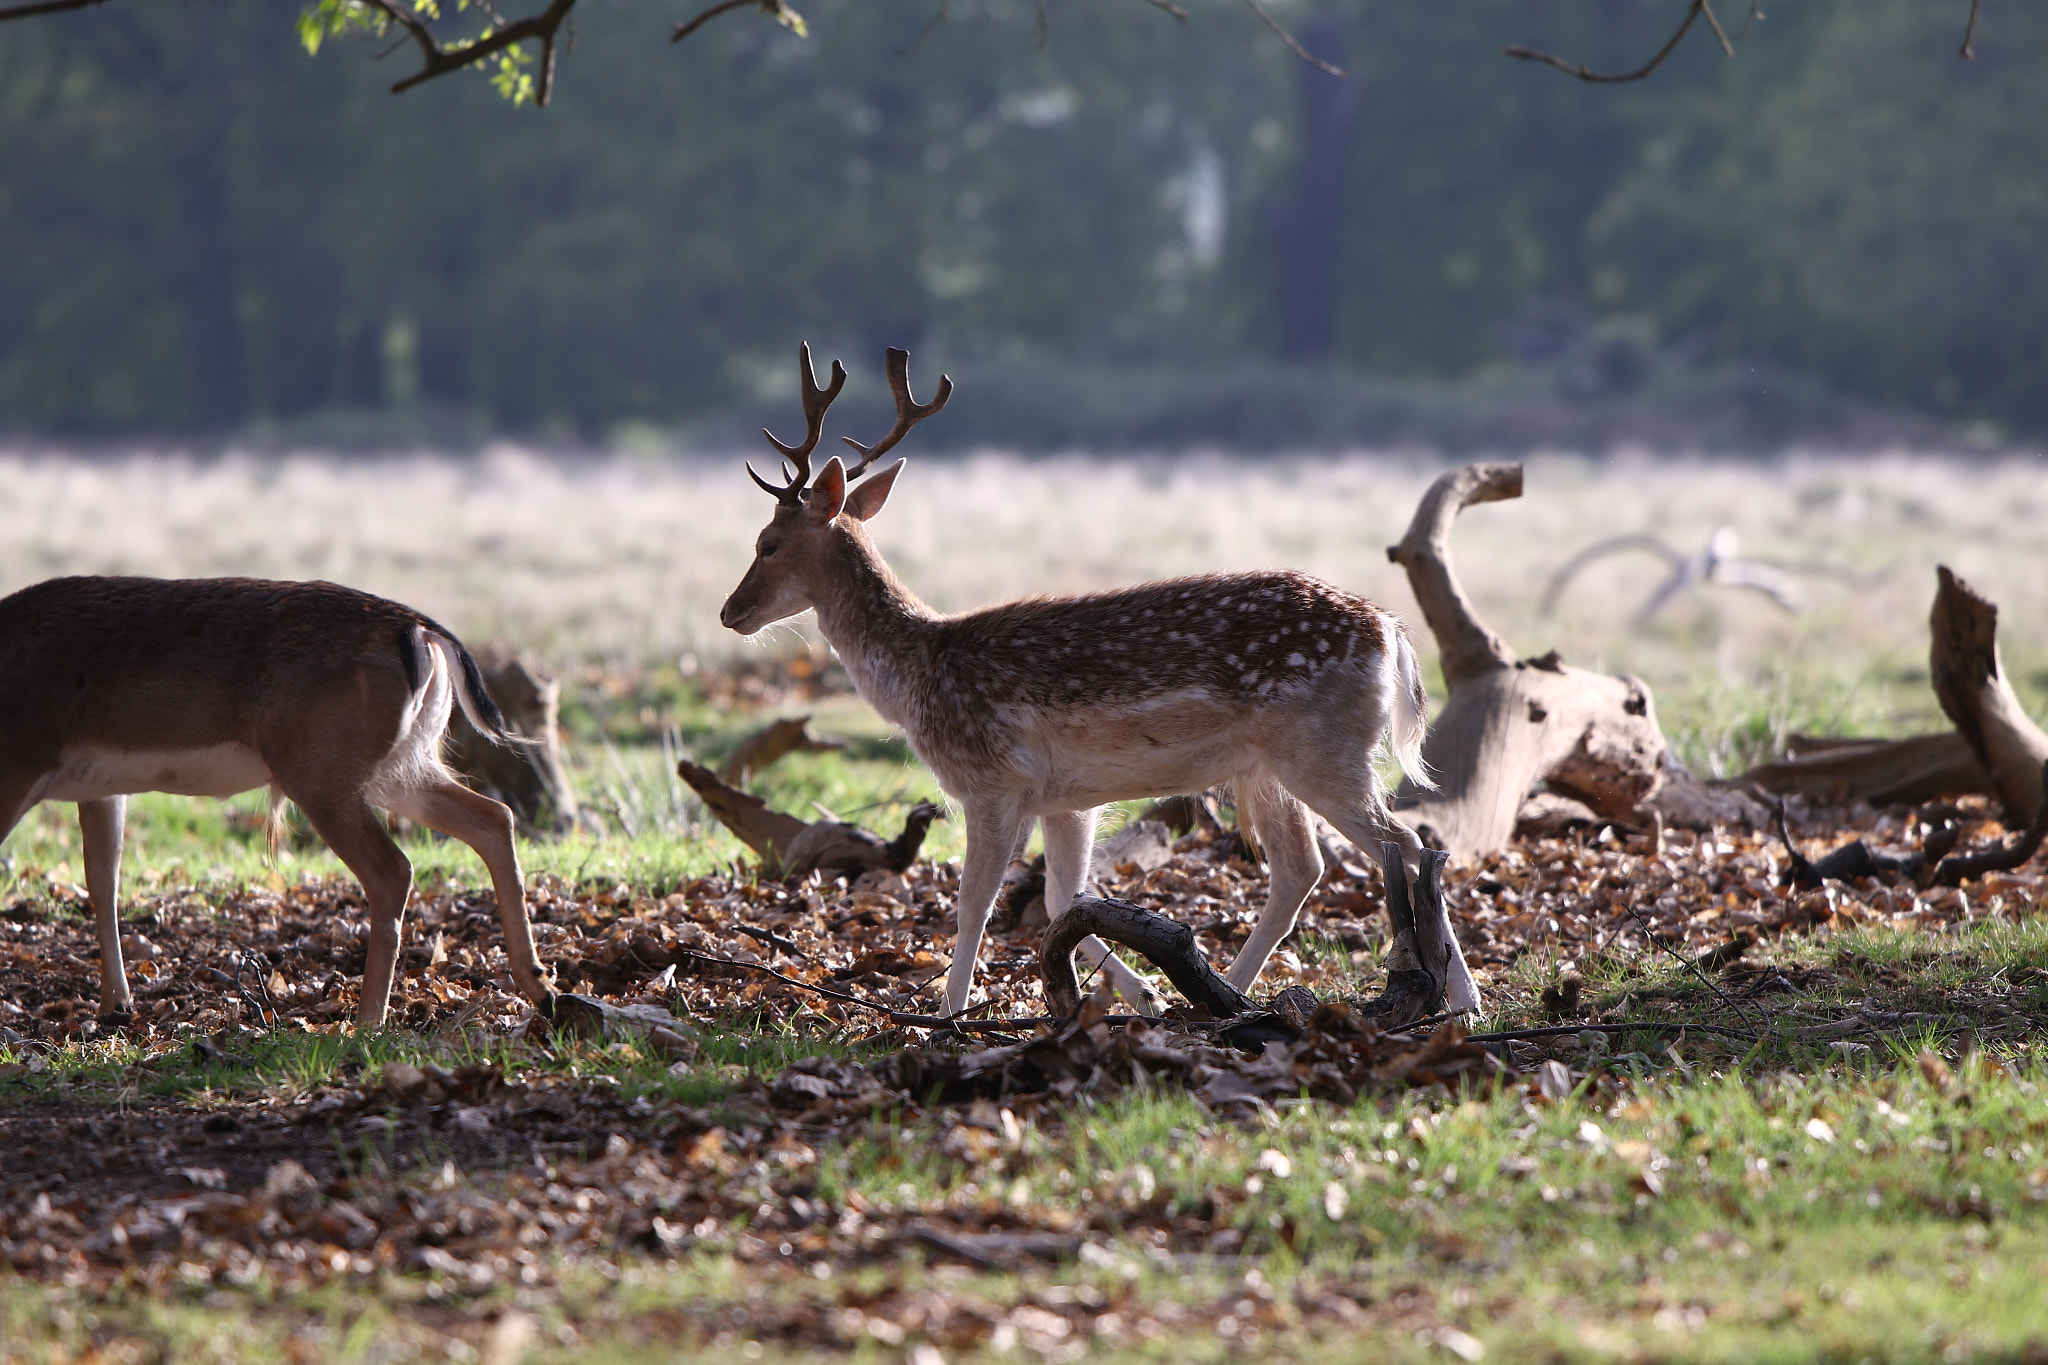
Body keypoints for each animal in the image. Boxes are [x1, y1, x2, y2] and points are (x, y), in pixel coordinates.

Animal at [0, 573, 557, 1023]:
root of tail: (420, 631)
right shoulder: (101, 788)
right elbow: (103, 881)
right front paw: (116, 1006)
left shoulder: (19, 762)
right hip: (398, 764)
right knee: (494, 817)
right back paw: (540, 986)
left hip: (321, 768)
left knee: (394, 868)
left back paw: (366, 1022)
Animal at [716, 347, 1474, 1019]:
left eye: (767, 544)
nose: (730, 612)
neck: (919, 678)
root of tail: (1391, 632)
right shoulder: (1065, 799)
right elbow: (1063, 901)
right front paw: (1142, 994)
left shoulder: (992, 783)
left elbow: (974, 903)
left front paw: (948, 1014)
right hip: (1268, 767)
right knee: (1303, 869)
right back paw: (1225, 993)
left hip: (1324, 749)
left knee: (1408, 844)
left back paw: (1458, 999)